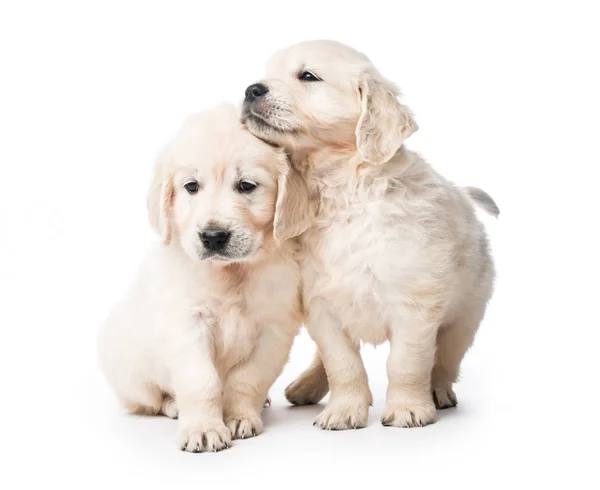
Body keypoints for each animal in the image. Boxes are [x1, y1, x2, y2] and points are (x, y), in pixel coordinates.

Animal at [98, 103, 310, 452]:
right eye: (192, 186)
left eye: (246, 185)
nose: (213, 236)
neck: (232, 272)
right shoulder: (187, 323)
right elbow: (202, 380)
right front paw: (204, 428)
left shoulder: (274, 330)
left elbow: (247, 379)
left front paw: (240, 416)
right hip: (131, 373)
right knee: (150, 400)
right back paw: (172, 405)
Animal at [241, 41, 500, 428]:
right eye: (268, 73)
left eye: (308, 76)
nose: (250, 90)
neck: (345, 191)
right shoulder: (321, 306)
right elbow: (342, 364)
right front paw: (345, 410)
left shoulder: (415, 305)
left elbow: (407, 363)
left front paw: (408, 408)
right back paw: (305, 387)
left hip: (468, 310)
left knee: (446, 358)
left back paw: (439, 393)